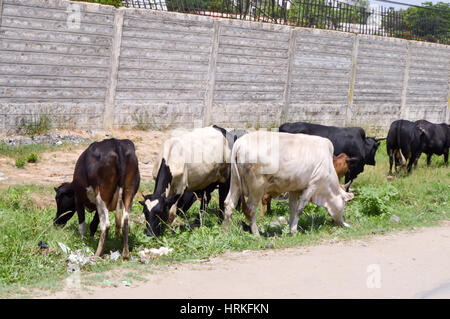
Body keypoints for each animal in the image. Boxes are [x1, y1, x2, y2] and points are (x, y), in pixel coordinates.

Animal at [223, 131, 354, 236]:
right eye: (344, 203)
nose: (342, 223)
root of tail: (240, 143)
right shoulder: (312, 186)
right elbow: (300, 209)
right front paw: (294, 230)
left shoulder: (294, 189)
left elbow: (292, 208)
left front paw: (291, 227)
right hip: (257, 187)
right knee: (250, 210)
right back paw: (256, 234)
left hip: (235, 182)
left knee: (229, 204)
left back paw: (226, 231)